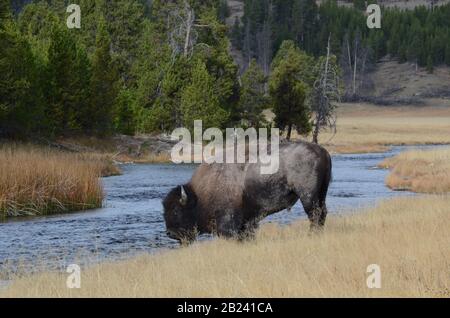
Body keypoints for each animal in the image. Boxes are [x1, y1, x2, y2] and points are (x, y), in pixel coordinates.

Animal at [163, 142, 332, 243]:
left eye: (176, 211)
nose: (170, 233)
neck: (199, 196)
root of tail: (322, 151)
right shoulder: (247, 221)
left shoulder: (229, 223)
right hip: (321, 193)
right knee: (322, 213)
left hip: (308, 196)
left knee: (314, 214)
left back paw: (311, 235)